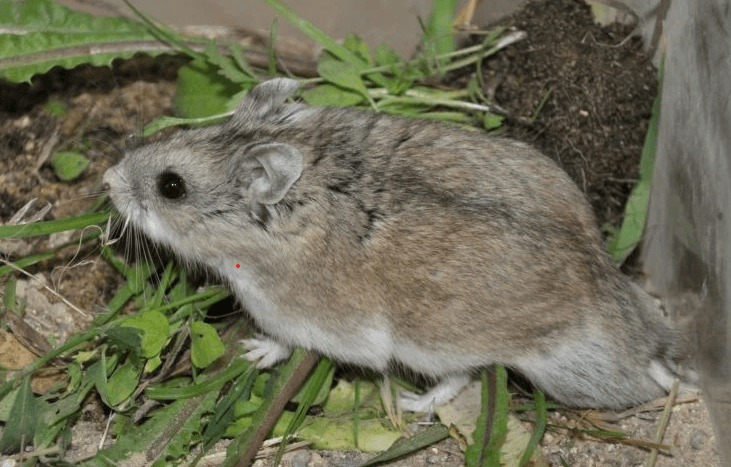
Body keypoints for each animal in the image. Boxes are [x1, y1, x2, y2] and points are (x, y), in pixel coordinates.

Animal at [103, 78, 692, 412]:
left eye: (171, 187)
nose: (107, 180)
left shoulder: (291, 316)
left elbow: (283, 344)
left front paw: (251, 352)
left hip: (435, 345)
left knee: (461, 378)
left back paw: (412, 404)